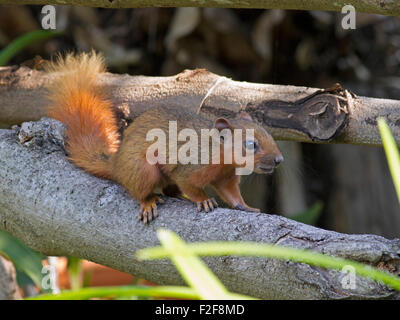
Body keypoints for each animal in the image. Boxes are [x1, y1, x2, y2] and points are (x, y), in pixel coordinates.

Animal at [45, 51, 282, 224]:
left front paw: (246, 206)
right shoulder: (189, 168)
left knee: (169, 189)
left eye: (270, 135)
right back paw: (149, 202)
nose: (279, 160)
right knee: (141, 191)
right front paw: (204, 200)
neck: (220, 155)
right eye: (251, 144)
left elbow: (231, 193)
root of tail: (116, 164)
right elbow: (190, 185)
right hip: (142, 169)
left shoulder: (226, 177)